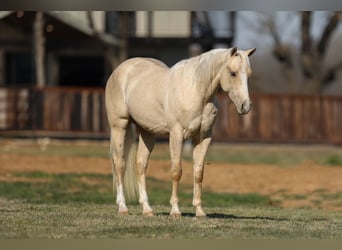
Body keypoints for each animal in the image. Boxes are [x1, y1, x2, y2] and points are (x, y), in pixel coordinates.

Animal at [105, 46, 255, 217]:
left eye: (248, 74)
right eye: (233, 73)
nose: (245, 106)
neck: (195, 91)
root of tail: (121, 69)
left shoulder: (204, 137)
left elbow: (198, 172)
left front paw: (199, 211)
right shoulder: (176, 135)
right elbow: (176, 171)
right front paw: (175, 210)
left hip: (147, 132)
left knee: (141, 164)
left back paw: (147, 209)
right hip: (119, 126)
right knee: (119, 164)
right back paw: (123, 207)